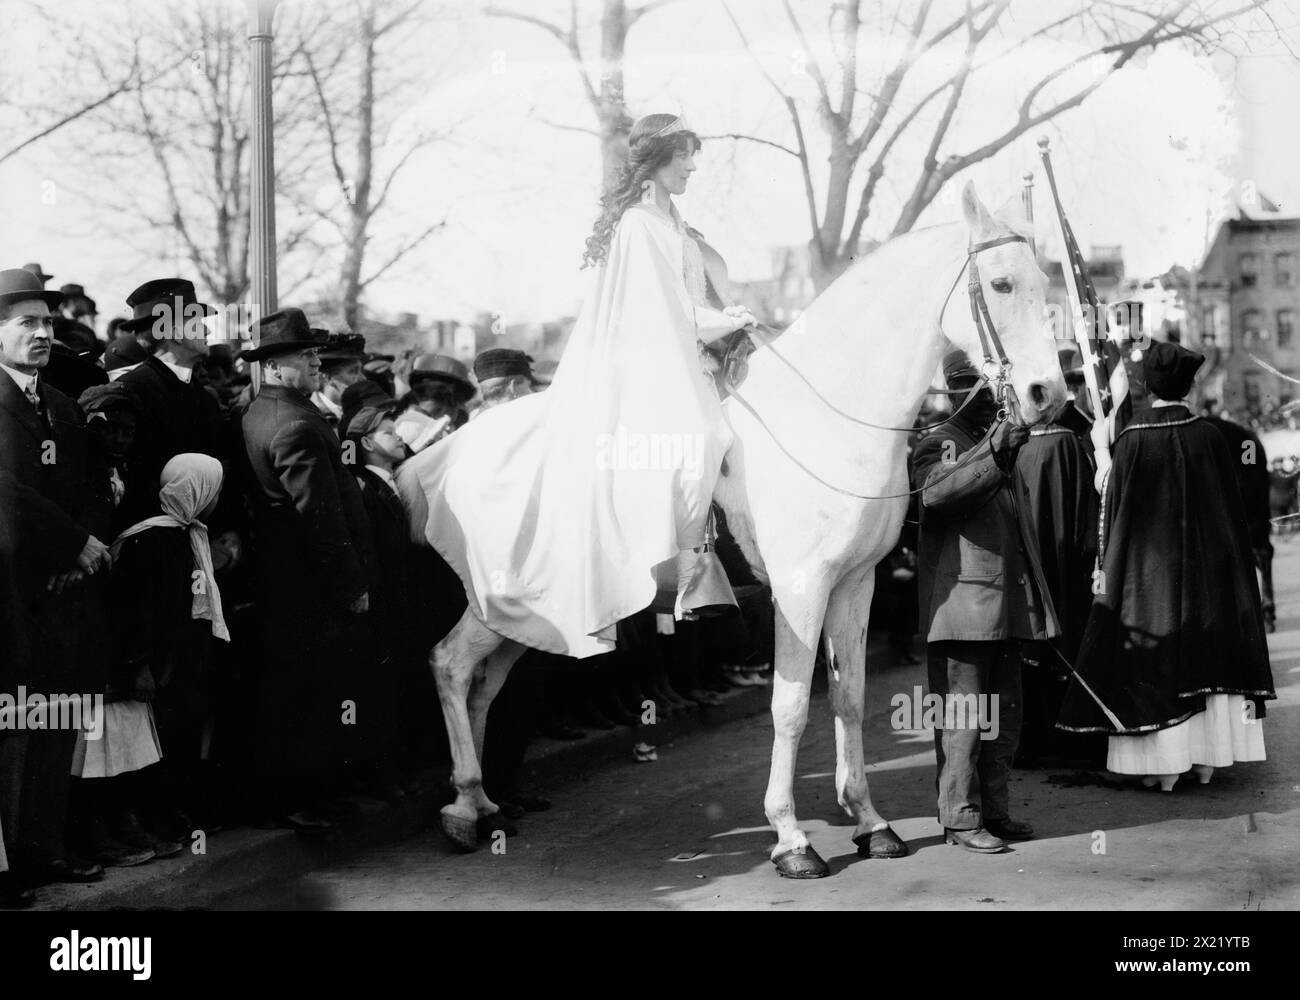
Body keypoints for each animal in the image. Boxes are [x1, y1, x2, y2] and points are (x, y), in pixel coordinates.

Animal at [397, 183, 1066, 879]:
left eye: (1046, 282)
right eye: (1002, 283)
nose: (1048, 394)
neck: (826, 416)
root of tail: (444, 453)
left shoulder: (854, 584)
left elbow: (849, 696)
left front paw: (870, 822)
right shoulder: (800, 588)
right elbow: (791, 706)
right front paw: (792, 839)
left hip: (529, 613)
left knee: (485, 683)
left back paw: (484, 802)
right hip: (501, 599)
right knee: (450, 666)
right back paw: (462, 808)